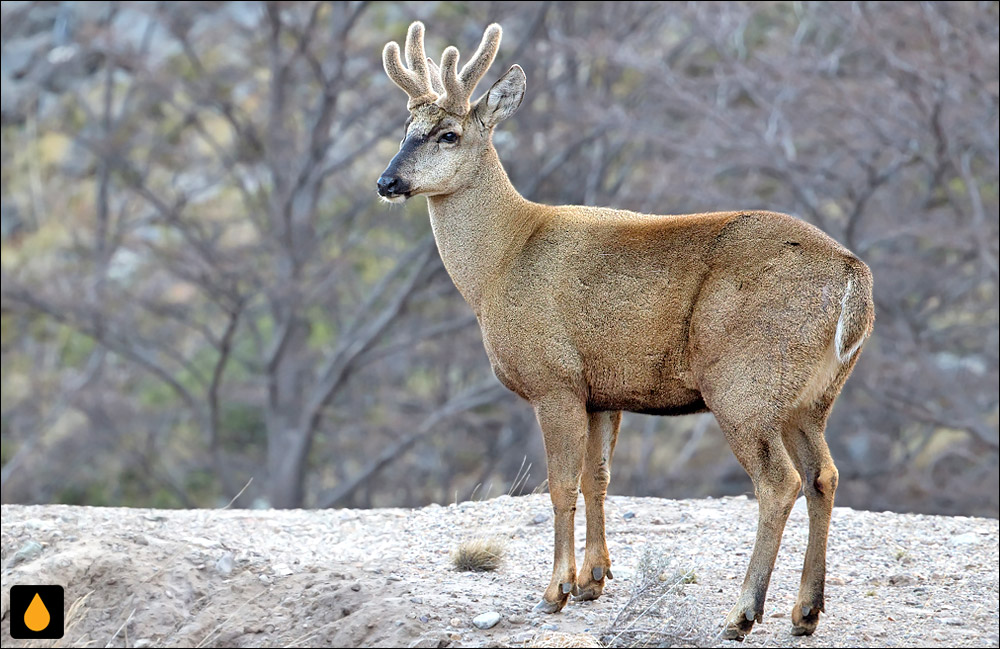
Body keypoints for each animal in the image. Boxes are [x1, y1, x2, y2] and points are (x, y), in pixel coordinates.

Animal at [376, 21, 876, 636]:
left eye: (448, 134)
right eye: (405, 129)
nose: (387, 180)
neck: (501, 263)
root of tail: (852, 274)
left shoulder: (554, 380)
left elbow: (560, 484)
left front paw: (555, 591)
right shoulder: (602, 392)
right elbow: (598, 478)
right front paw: (593, 580)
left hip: (745, 382)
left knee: (779, 482)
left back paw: (742, 612)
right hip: (812, 396)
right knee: (823, 475)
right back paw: (804, 611)